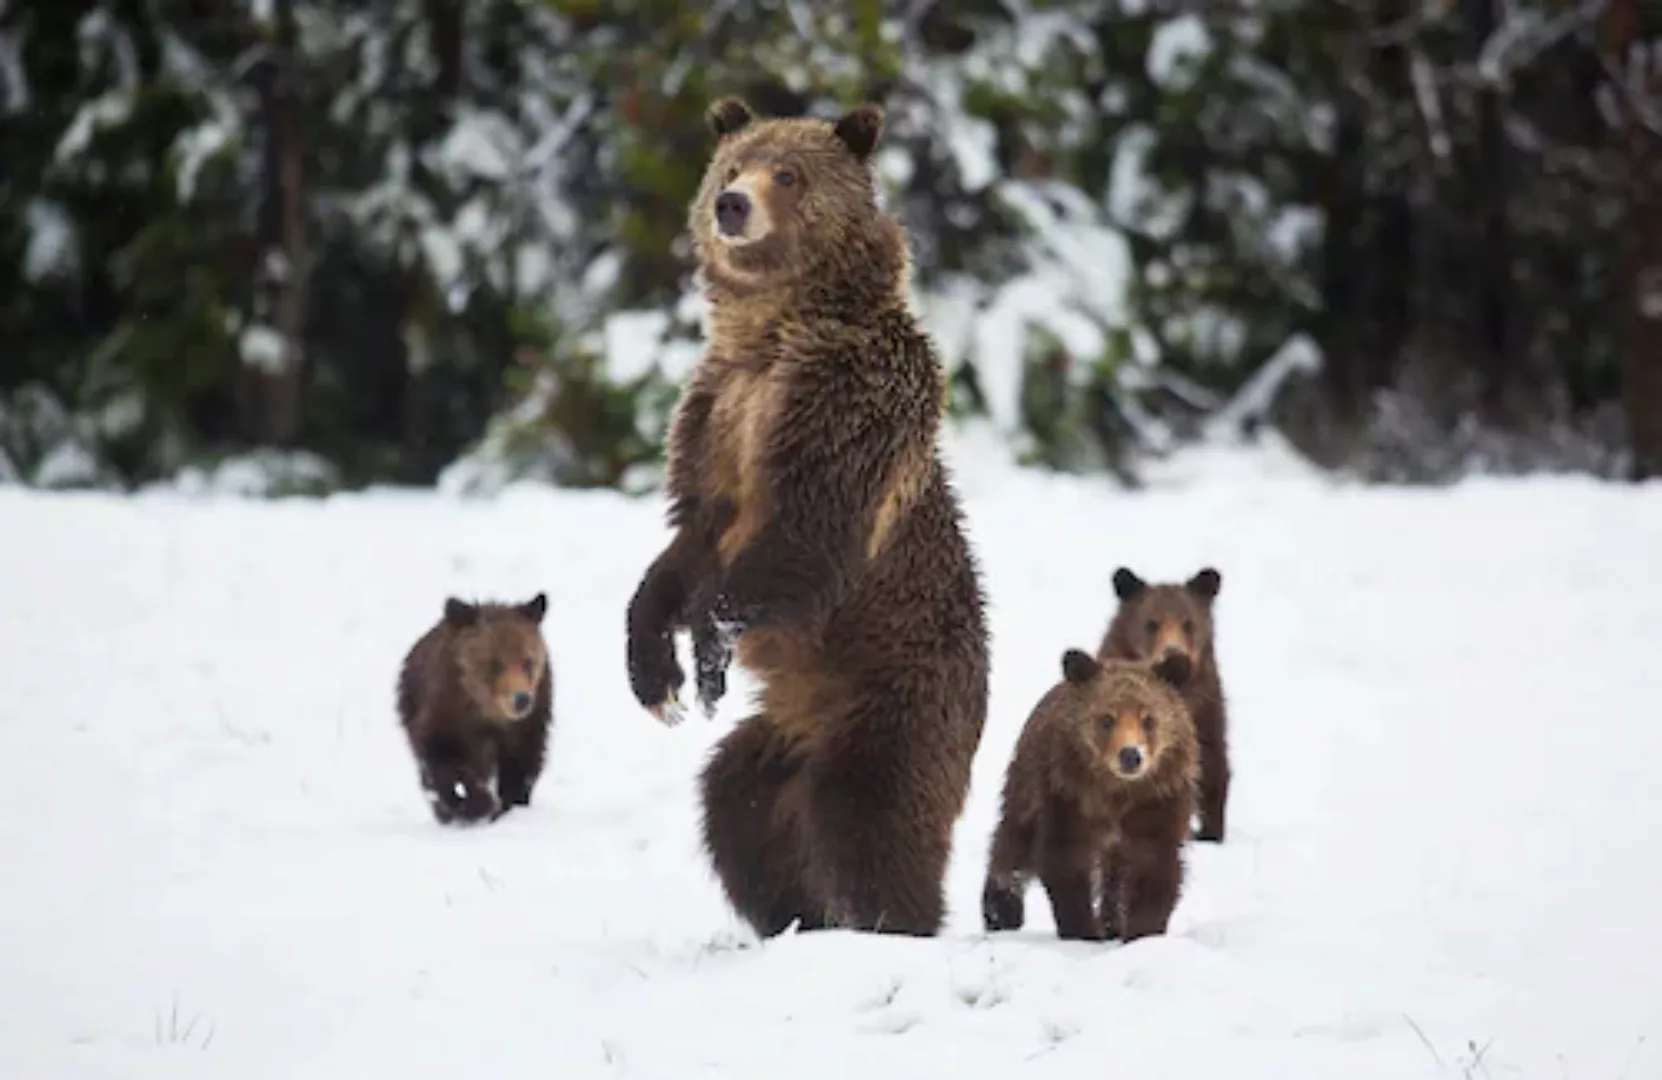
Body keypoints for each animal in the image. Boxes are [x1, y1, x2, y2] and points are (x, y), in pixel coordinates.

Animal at [397, 591, 555, 820]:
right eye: (494, 664)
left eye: (528, 662)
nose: (521, 699)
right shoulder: (443, 717)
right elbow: (442, 764)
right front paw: (473, 803)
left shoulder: (526, 728)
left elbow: (520, 768)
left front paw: (508, 806)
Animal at [624, 98, 983, 930]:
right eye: (732, 165)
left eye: (788, 173)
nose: (732, 205)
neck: (774, 332)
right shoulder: (718, 414)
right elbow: (688, 536)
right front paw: (657, 676)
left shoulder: (840, 407)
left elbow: (804, 529)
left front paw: (708, 650)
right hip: (782, 732)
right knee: (737, 807)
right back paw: (790, 915)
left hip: (893, 701)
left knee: (867, 817)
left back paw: (892, 922)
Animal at [977, 644, 1203, 937]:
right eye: (1107, 718)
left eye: (1149, 720)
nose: (1131, 755)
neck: (1116, 792)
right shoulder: (1069, 795)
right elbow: (1065, 859)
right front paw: (1082, 929)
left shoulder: (1157, 799)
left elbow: (1153, 864)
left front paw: (1141, 930)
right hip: (1026, 781)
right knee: (1014, 840)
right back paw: (1001, 909)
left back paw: (1112, 921)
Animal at [1096, 568, 1229, 837]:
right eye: (1151, 624)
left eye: (1188, 623)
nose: (1174, 652)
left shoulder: (1206, 710)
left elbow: (1212, 765)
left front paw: (1210, 832)